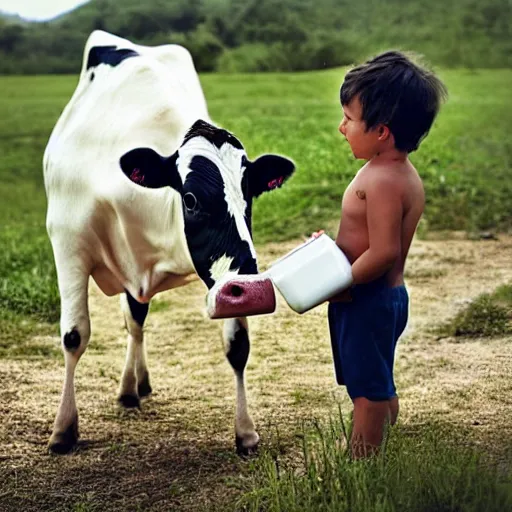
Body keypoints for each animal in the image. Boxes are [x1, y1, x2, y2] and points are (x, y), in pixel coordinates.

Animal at [44, 31, 296, 456]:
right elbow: (74, 335)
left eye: (250, 193)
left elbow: (238, 345)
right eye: (190, 199)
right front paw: (63, 428)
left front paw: (245, 431)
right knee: (131, 319)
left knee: (135, 318)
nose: (254, 289)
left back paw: (134, 385)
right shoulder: (68, 241)